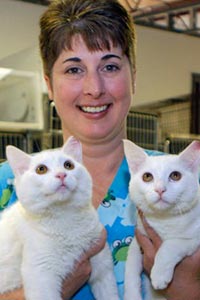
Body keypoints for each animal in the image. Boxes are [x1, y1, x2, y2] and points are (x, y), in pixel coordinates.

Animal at [0, 137, 119, 300]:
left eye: (68, 165)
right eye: (41, 169)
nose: (61, 174)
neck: (65, 218)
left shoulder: (103, 267)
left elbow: (110, 292)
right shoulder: (40, 276)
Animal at [122, 140, 200, 300]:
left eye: (175, 175)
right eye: (147, 176)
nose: (160, 189)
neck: (163, 220)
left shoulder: (193, 239)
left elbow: (169, 246)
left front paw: (159, 275)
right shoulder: (139, 239)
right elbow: (130, 268)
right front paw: (131, 294)